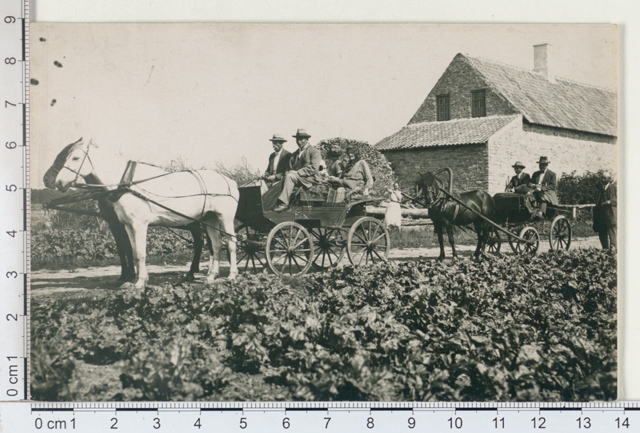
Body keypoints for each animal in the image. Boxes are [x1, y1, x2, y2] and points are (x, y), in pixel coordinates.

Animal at [51, 138, 239, 286]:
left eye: (75, 158)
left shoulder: (139, 224)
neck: (126, 183)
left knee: (230, 243)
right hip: (210, 219)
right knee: (216, 245)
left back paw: (232, 275)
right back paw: (211, 277)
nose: (58, 182)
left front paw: (140, 282)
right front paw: (136, 280)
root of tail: (230, 181)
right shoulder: (127, 225)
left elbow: (141, 252)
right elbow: (134, 252)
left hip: (225, 219)